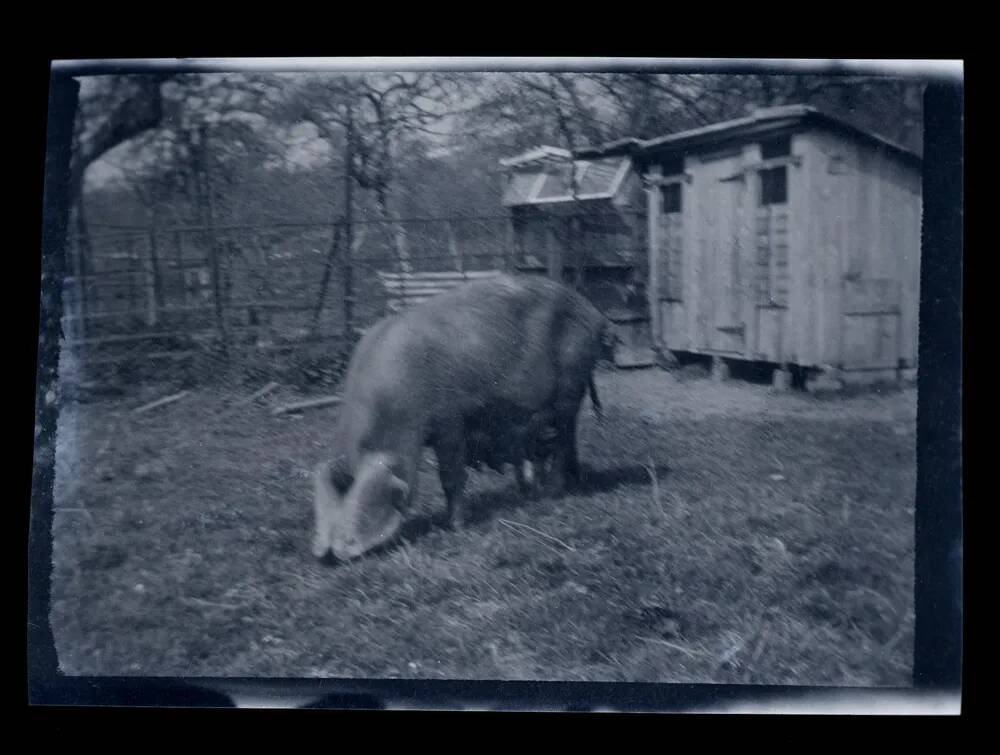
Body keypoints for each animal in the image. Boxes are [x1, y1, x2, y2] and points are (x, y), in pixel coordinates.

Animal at [312, 274, 608, 560]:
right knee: (567, 438)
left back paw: (554, 492)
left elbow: (451, 476)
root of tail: (593, 312)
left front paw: (455, 526)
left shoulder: (449, 421)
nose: (333, 554)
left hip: (570, 382)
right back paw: (563, 484)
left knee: (563, 438)